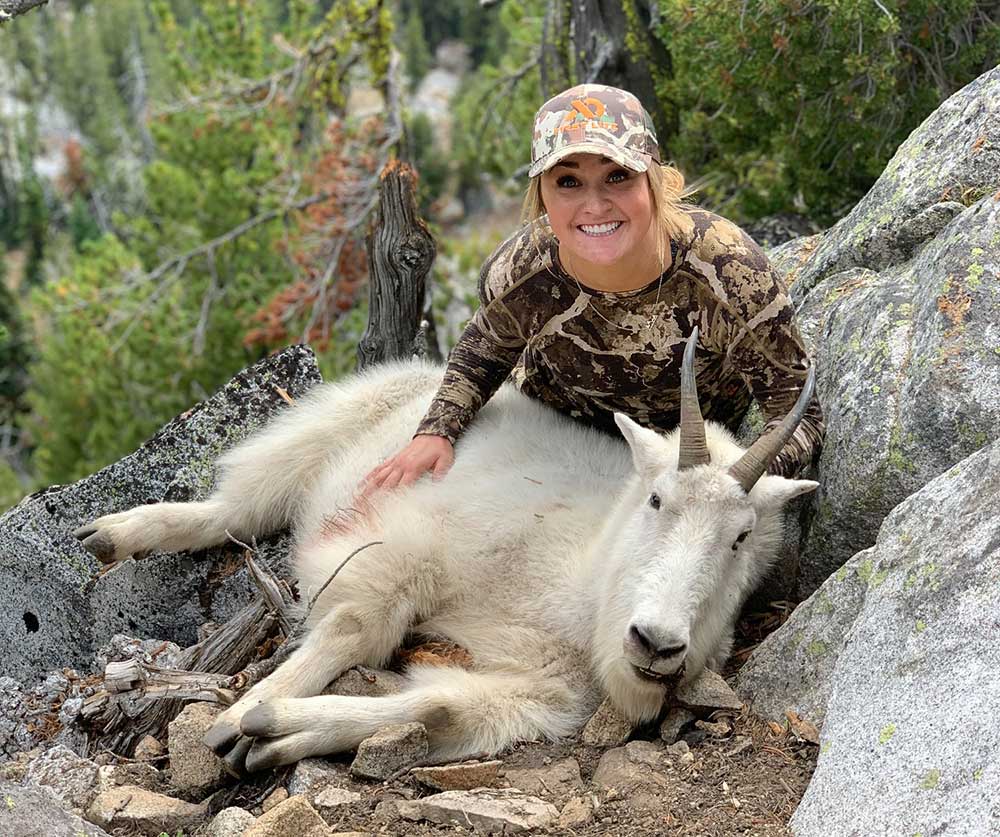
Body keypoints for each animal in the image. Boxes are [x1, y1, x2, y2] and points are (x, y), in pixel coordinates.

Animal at [75, 330, 817, 773]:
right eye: (657, 500)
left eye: (740, 538)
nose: (657, 642)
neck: (577, 584)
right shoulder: (406, 550)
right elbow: (354, 627)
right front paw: (233, 718)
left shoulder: (547, 691)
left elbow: (437, 709)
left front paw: (273, 732)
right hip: (330, 424)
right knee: (238, 505)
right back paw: (113, 532)